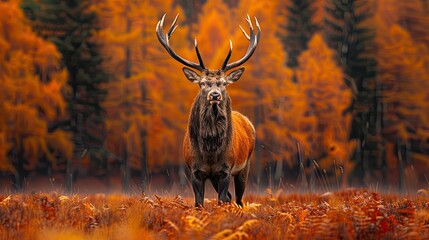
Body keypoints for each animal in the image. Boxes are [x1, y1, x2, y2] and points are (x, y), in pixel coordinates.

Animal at [155, 14, 260, 207]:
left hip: (245, 165)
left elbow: (221, 201)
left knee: (238, 199)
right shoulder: (195, 170)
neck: (209, 152)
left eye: (224, 83)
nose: (215, 95)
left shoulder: (226, 169)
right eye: (202, 83)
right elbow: (199, 203)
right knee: (231, 197)